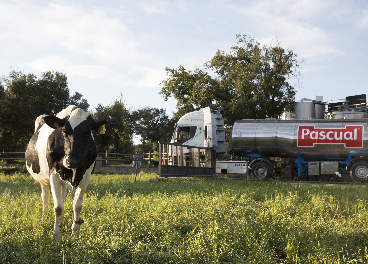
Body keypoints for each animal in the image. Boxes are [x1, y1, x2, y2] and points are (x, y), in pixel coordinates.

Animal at [24, 105, 106, 239]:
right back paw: (43, 220)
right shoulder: (53, 175)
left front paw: (76, 232)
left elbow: (77, 206)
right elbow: (58, 207)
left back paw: (60, 221)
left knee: (62, 197)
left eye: (87, 133)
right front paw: (56, 235)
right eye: (64, 131)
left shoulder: (86, 176)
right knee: (45, 197)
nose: (72, 161)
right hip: (43, 180)